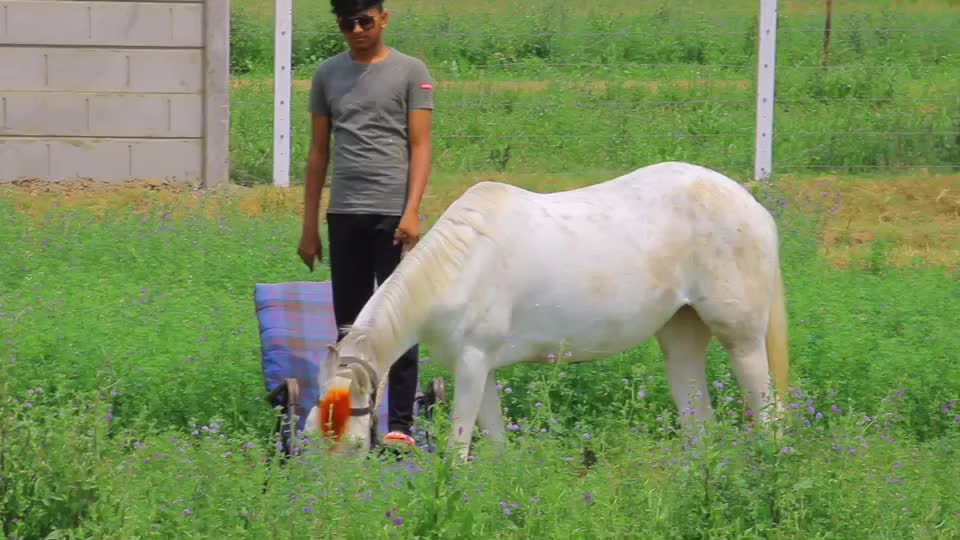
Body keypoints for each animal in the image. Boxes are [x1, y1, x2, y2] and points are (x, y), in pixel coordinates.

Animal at [303, 161, 790, 461]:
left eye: (351, 446)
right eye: (309, 437)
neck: (462, 265)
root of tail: (754, 207)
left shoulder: (472, 365)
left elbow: (458, 447)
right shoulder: (482, 369)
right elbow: (495, 443)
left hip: (743, 340)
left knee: (768, 414)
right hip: (681, 336)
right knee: (699, 424)